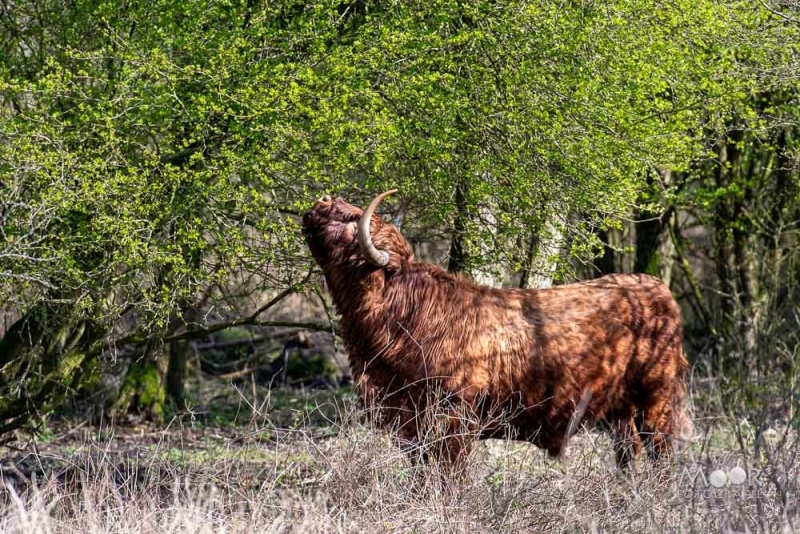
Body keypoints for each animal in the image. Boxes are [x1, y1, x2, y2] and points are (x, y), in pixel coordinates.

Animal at [304, 189, 692, 474]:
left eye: (350, 220)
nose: (322, 200)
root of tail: (655, 286)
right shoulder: (410, 424)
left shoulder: (452, 422)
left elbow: (447, 478)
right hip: (620, 409)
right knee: (628, 453)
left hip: (656, 400)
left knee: (661, 455)